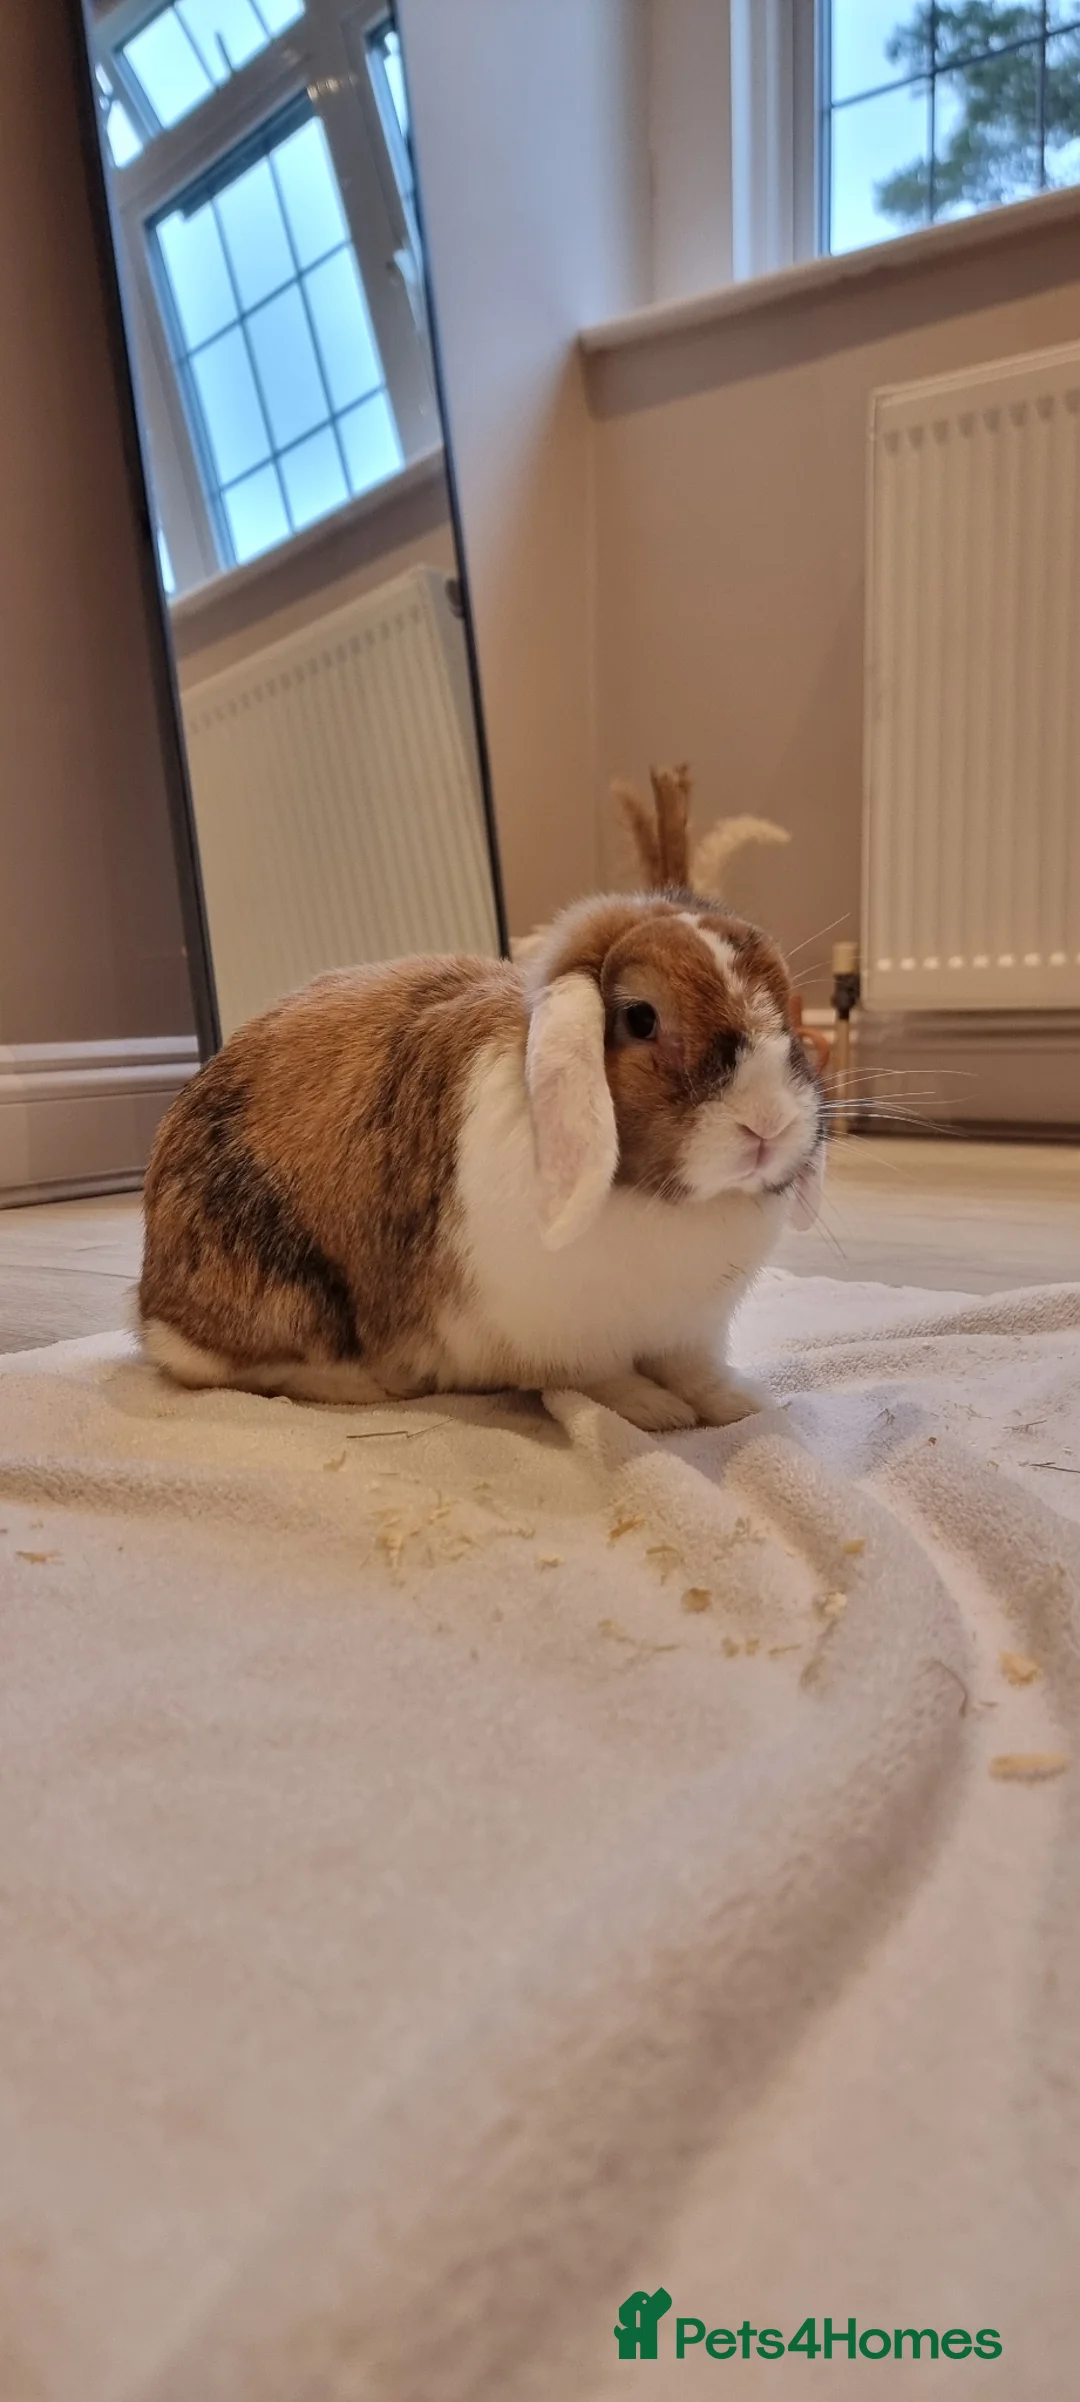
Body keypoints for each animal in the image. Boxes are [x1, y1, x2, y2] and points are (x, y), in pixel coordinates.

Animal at [139, 786, 824, 1432]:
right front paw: (654, 1411)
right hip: (279, 1294)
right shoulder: (573, 1340)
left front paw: (739, 1403)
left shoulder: (691, 1332)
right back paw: (365, 1384)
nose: (767, 1123)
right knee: (229, 1367)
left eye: (784, 1006)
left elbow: (696, 1370)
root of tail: (150, 1304)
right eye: (640, 1018)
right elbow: (603, 1378)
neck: (670, 1202)